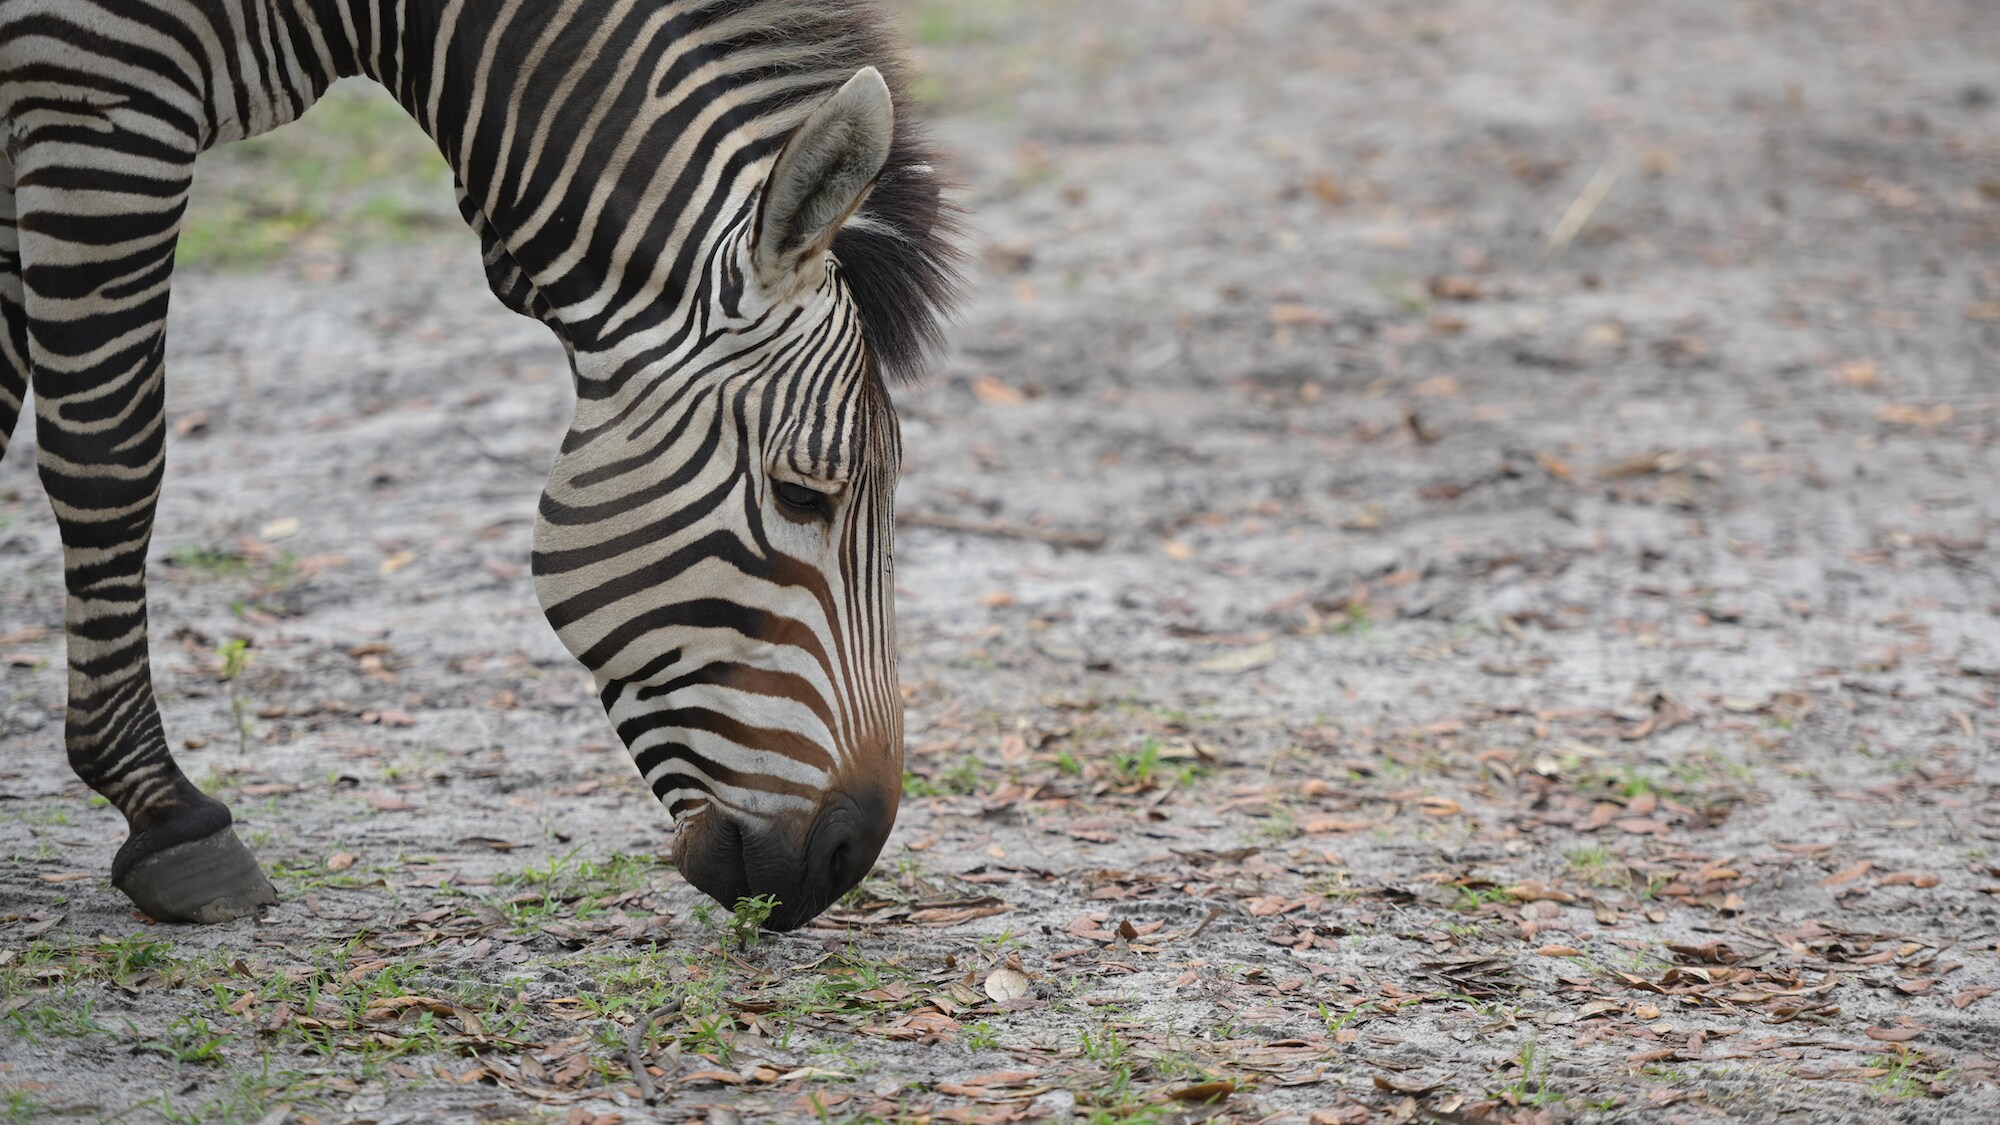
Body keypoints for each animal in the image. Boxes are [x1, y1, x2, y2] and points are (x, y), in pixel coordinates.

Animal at [0, 0, 968, 928]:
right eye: (802, 494)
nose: (848, 858)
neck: (368, 19)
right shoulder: (98, 96)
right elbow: (111, 457)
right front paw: (168, 816)